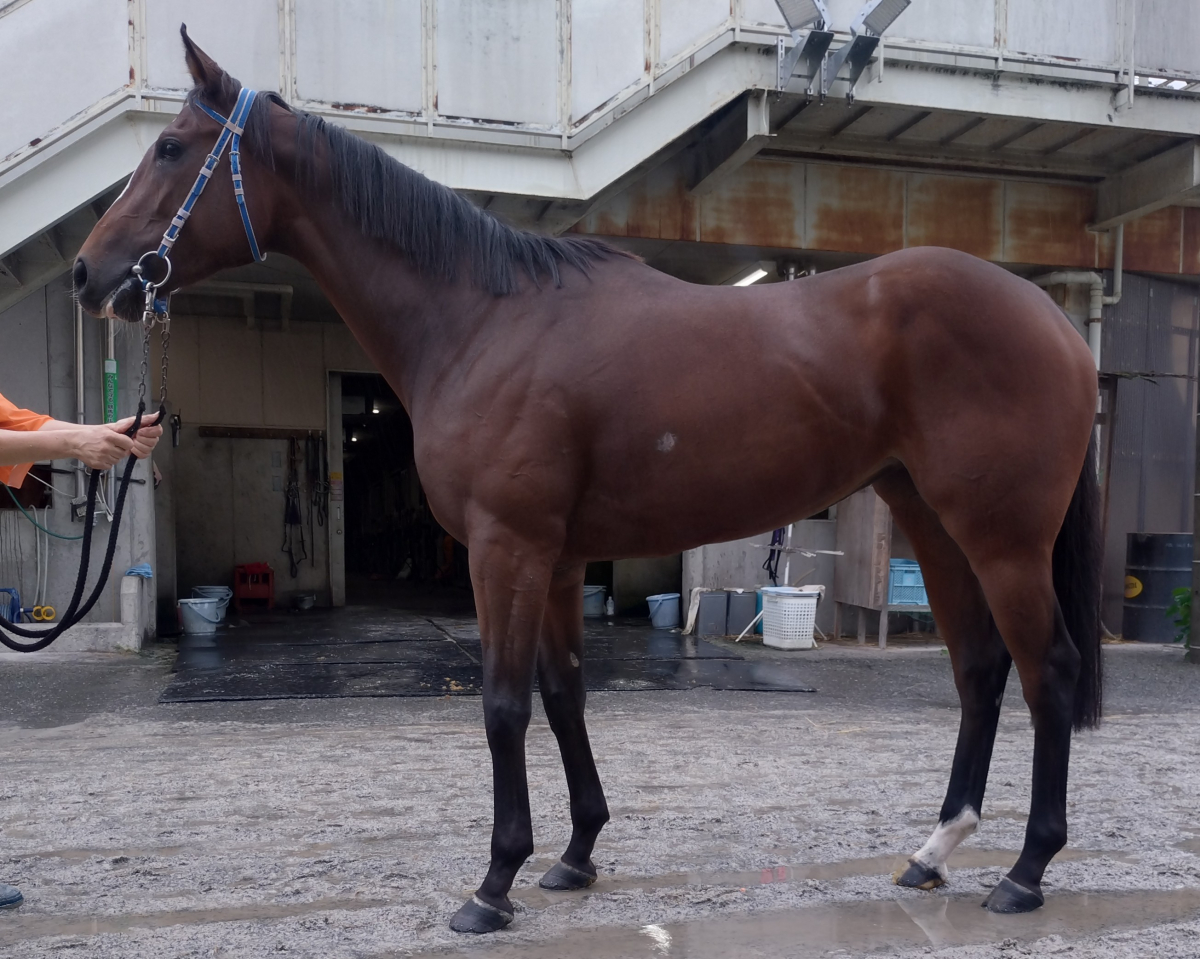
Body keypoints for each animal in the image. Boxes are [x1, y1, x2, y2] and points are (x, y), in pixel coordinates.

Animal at [73, 27, 1102, 934]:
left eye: (170, 148)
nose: (89, 272)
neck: (482, 318)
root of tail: (1057, 323)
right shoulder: (559, 559)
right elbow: (565, 694)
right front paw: (573, 856)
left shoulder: (506, 548)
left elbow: (502, 704)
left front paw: (492, 885)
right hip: (932, 521)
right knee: (979, 668)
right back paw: (934, 850)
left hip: (1004, 538)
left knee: (1046, 668)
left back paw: (1025, 871)